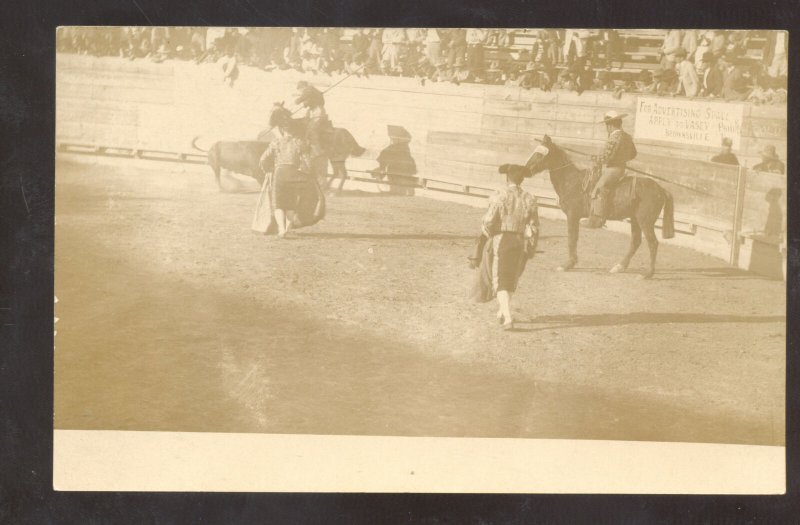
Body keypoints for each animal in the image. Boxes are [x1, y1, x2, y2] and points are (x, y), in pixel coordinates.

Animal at [520, 134, 676, 278]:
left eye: (540, 154)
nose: (525, 170)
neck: (571, 181)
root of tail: (661, 189)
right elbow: (574, 238)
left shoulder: (572, 216)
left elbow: (572, 238)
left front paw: (567, 264)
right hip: (635, 220)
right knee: (636, 242)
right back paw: (619, 267)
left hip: (645, 221)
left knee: (653, 243)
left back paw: (648, 274)